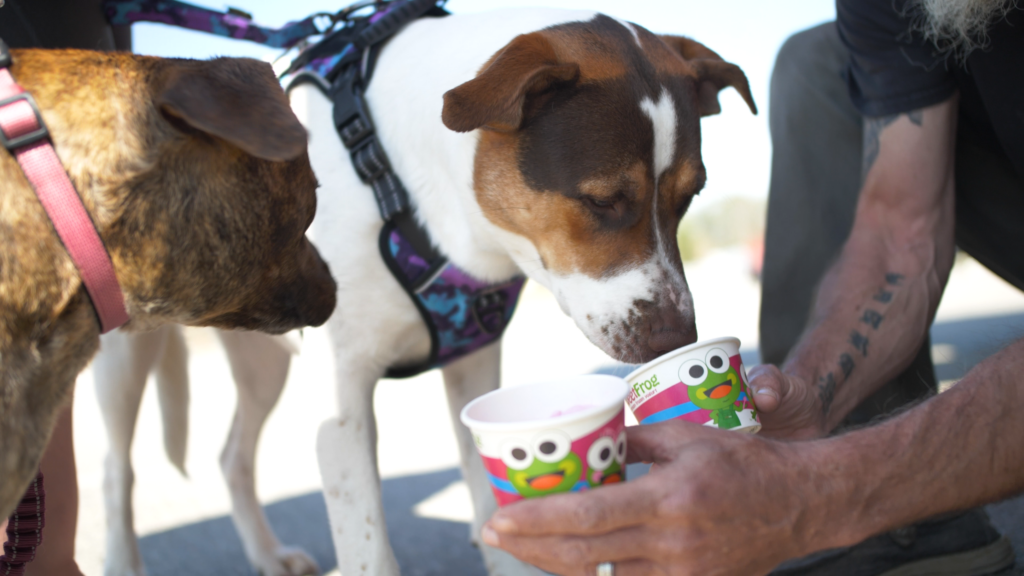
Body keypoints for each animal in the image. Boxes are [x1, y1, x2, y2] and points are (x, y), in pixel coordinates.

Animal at [94, 7, 753, 573]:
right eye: (602, 200)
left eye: (690, 196)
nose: (677, 337)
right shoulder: (340, 407)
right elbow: (368, 550)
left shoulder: (474, 365)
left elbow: (492, 507)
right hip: (122, 353)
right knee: (116, 474)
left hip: (265, 360)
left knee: (232, 455)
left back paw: (267, 553)